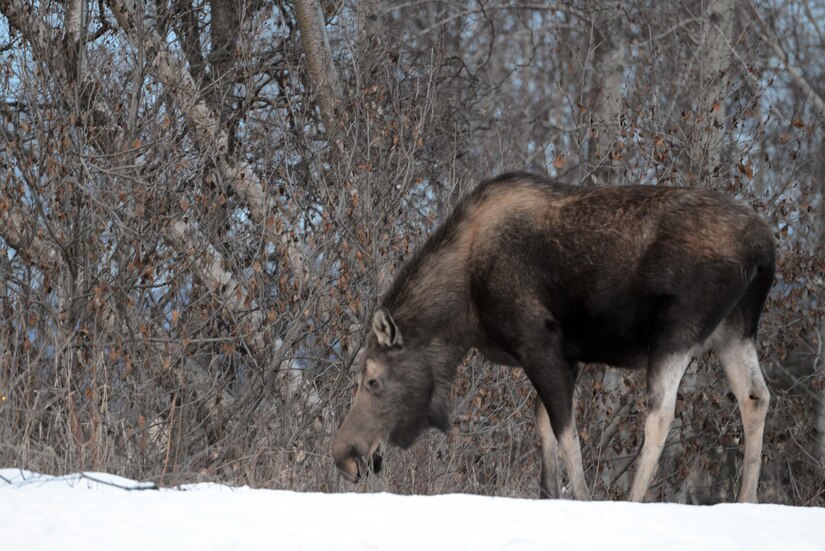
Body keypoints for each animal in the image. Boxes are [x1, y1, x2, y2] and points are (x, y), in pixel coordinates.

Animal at [332, 170, 776, 502]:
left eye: (372, 380)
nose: (344, 455)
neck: (462, 310)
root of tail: (764, 250)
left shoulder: (538, 345)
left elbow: (565, 431)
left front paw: (581, 497)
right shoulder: (567, 355)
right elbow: (545, 428)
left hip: (675, 331)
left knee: (661, 412)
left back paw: (635, 499)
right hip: (735, 330)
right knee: (756, 395)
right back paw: (747, 499)